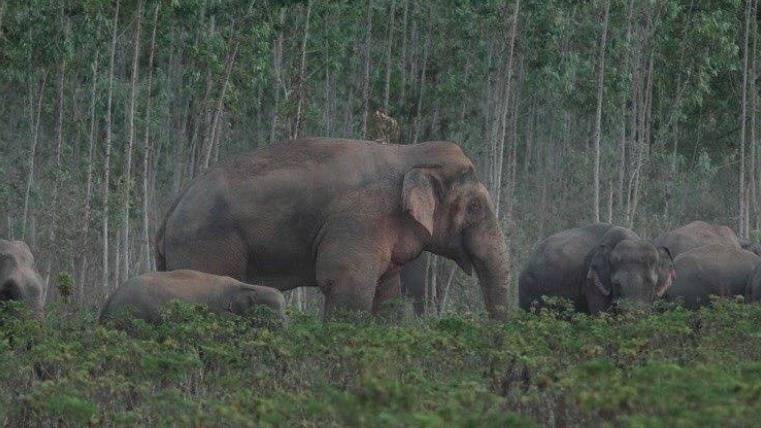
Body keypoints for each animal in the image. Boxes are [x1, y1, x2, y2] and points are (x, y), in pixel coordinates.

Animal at [154, 139, 510, 320]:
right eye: (475, 207)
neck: (409, 152)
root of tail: (171, 208)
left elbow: (386, 294)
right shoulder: (361, 219)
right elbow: (347, 287)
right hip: (206, 246)